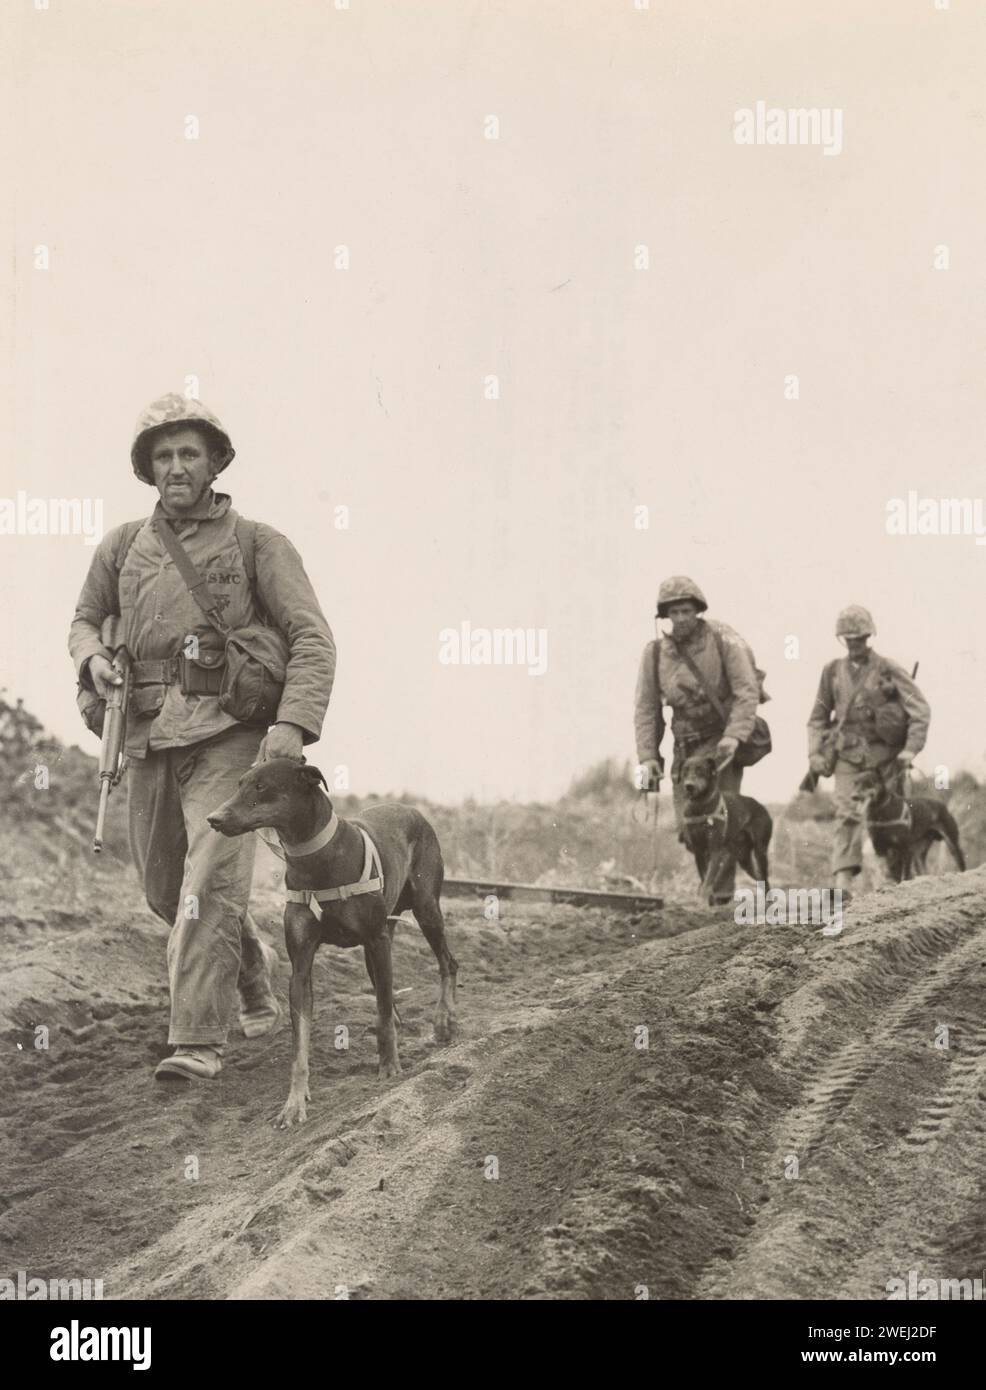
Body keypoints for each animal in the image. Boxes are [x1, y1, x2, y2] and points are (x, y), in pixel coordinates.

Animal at [207, 761, 458, 1128]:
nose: (213, 818)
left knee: (446, 963)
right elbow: (299, 1045)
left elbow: (384, 1013)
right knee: (386, 987)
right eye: (240, 783)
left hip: (424, 910)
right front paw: (294, 1104)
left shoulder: (376, 939)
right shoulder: (301, 966)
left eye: (261, 786)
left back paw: (444, 1020)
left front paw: (390, 1067)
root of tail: (412, 809)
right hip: (380, 940)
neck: (317, 858)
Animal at [675, 756, 767, 906]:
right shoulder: (698, 851)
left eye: (700, 769)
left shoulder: (715, 850)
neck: (700, 807)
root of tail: (763, 807)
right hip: (744, 858)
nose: (689, 786)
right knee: (759, 876)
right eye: (685, 770)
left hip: (760, 851)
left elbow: (708, 880)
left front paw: (702, 901)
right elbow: (704, 877)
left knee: (765, 877)